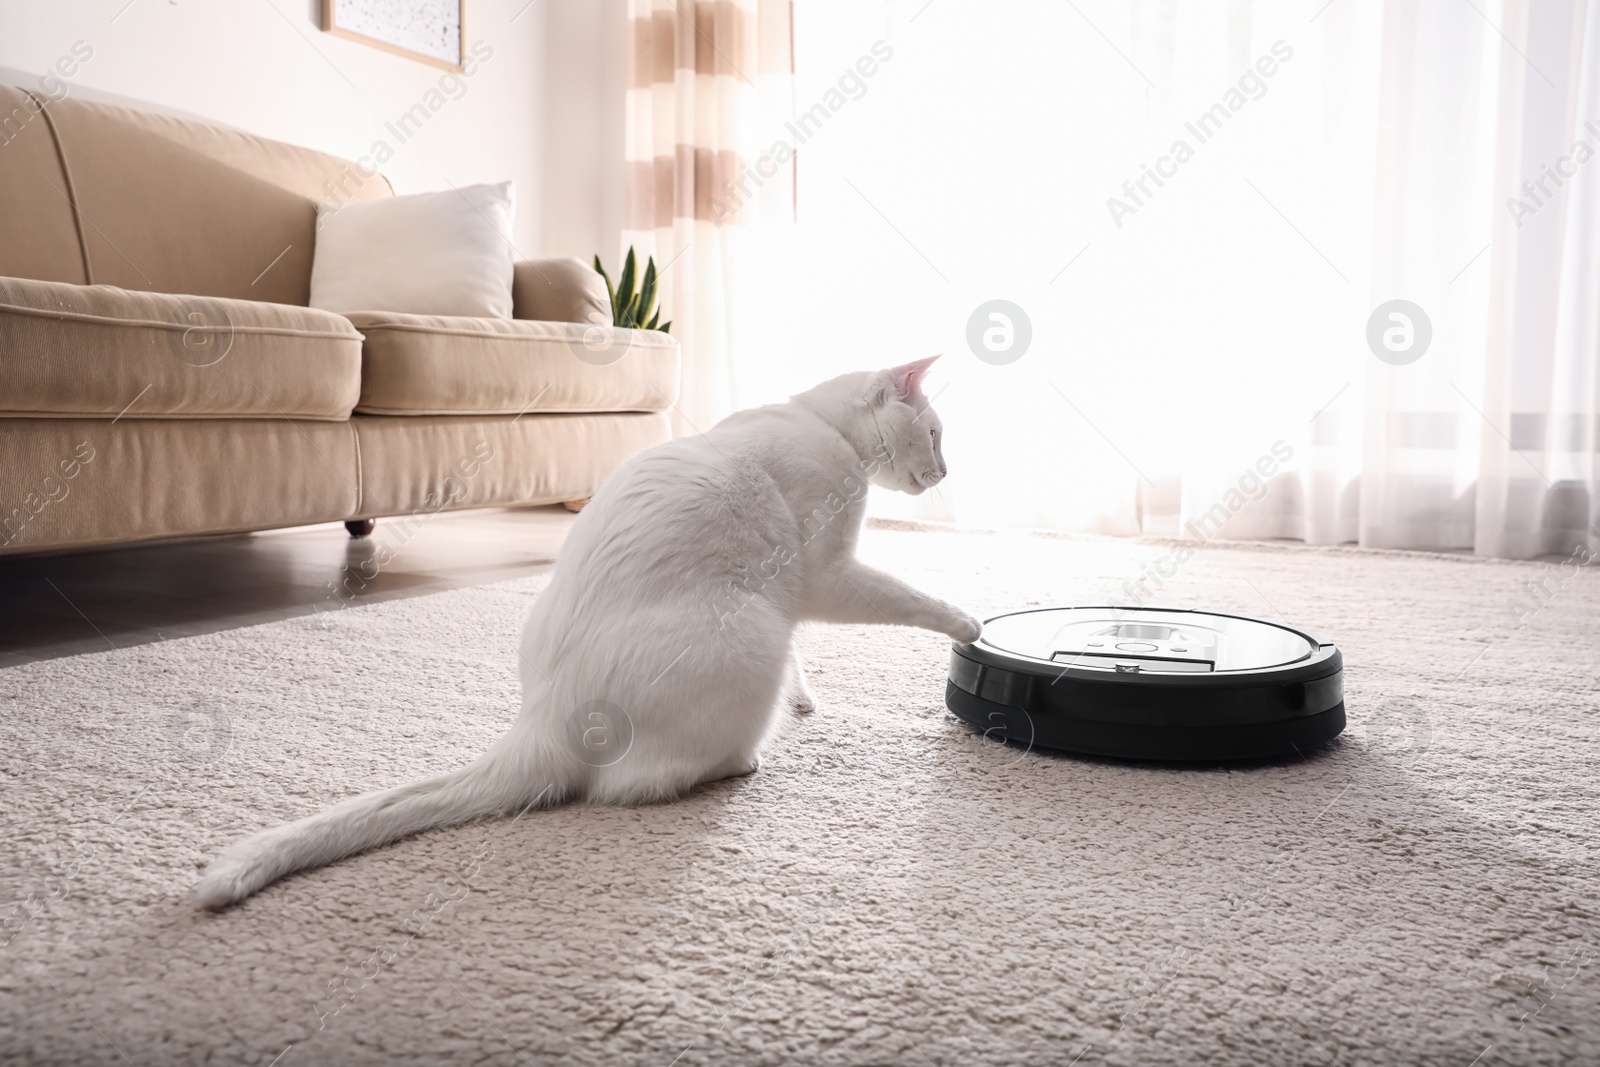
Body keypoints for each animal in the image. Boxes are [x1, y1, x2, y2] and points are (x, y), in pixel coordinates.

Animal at [195, 358, 979, 908]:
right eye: (937, 433)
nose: (946, 471)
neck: (822, 429)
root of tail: (543, 715)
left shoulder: (804, 597)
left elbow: (808, 659)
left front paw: (808, 698)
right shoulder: (828, 575)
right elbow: (909, 600)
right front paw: (969, 621)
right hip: (755, 633)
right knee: (632, 784)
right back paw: (742, 761)